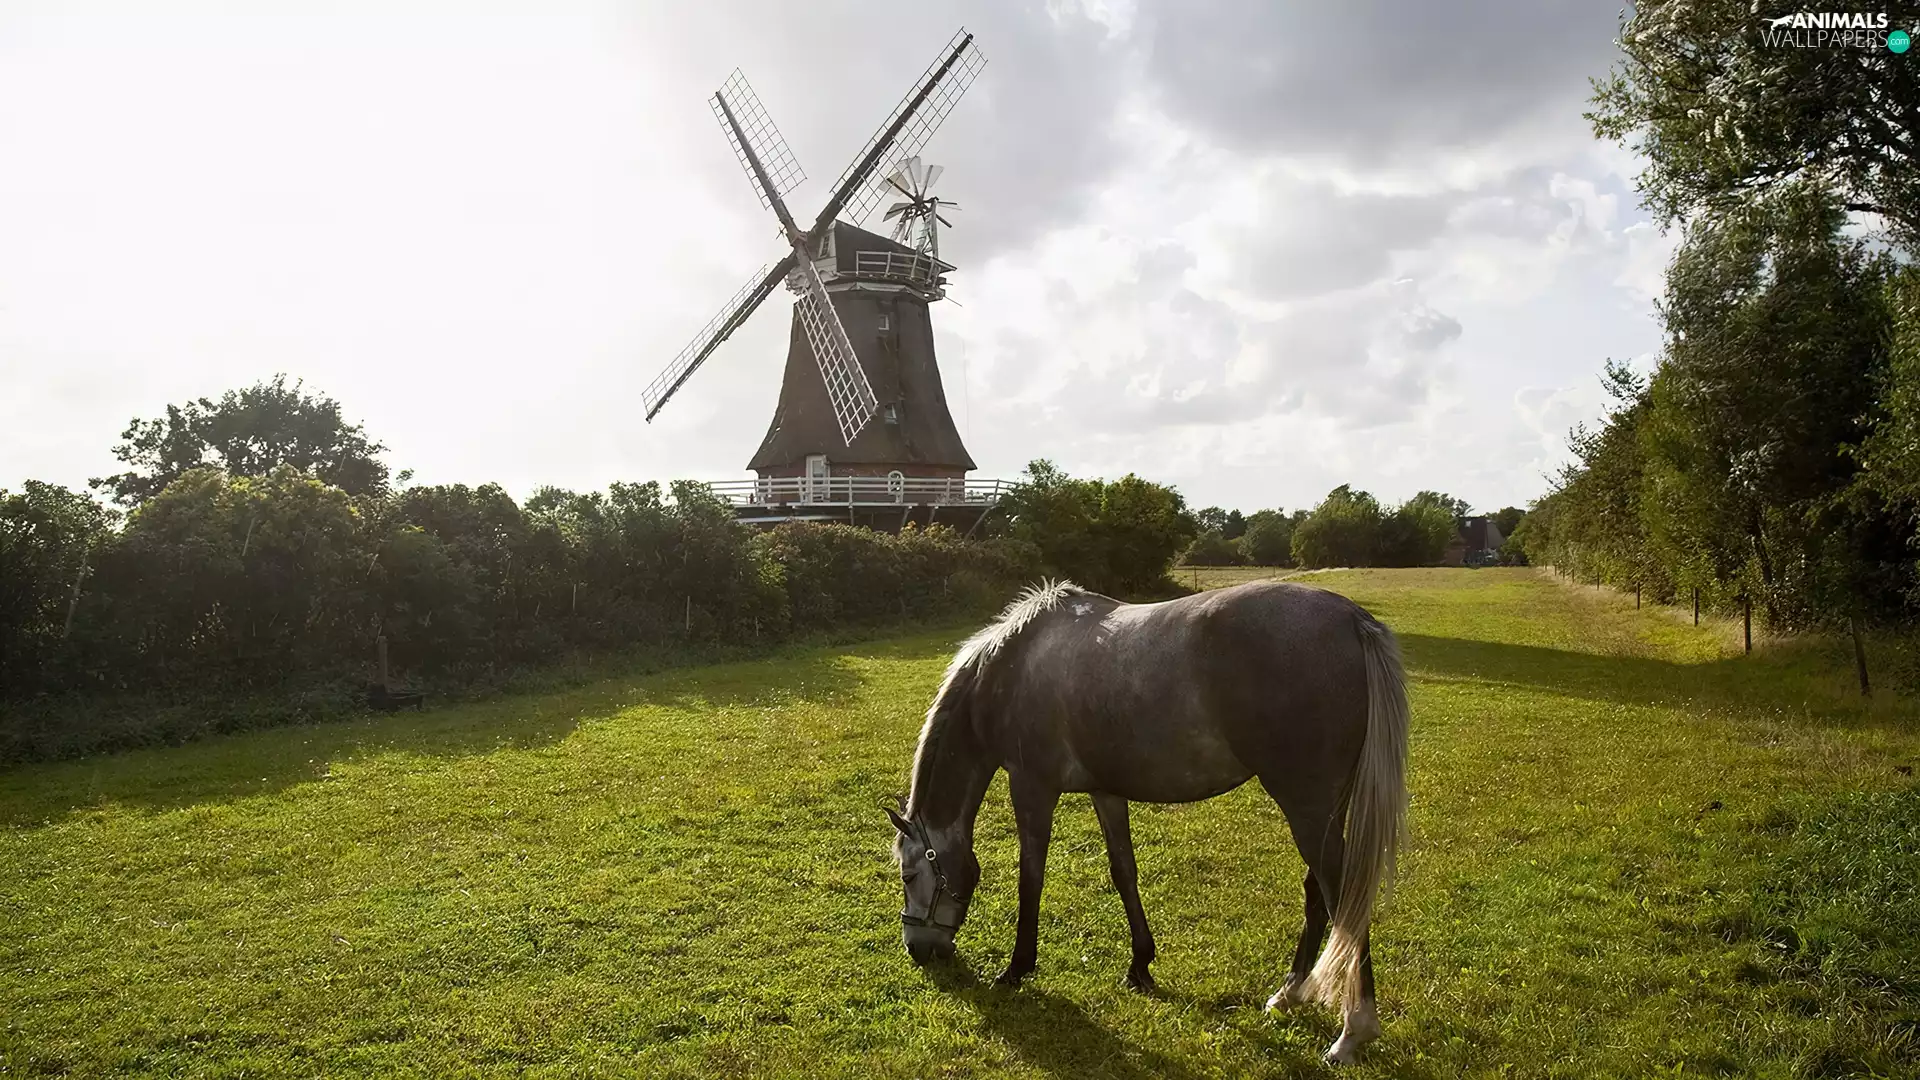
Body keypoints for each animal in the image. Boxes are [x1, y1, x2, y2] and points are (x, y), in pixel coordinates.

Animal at [885, 578, 1411, 1065]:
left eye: (909, 875)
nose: (917, 950)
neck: (1009, 670)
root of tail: (1351, 620)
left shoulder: (1032, 788)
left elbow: (1030, 879)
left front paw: (1017, 968)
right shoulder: (1106, 792)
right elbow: (1124, 872)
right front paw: (1140, 965)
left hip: (1306, 807)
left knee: (1343, 897)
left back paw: (1352, 1032)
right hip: (1323, 810)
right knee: (1318, 892)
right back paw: (1290, 994)